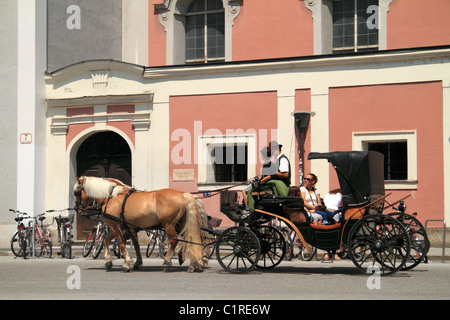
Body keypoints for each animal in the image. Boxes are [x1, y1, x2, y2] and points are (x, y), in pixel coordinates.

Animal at [73, 176, 207, 272]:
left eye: (76, 192)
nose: (76, 208)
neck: (111, 197)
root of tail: (182, 194)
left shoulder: (115, 225)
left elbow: (120, 243)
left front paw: (126, 263)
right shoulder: (126, 227)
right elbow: (117, 242)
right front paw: (109, 261)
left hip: (169, 225)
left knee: (174, 240)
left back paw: (167, 262)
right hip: (181, 224)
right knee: (193, 239)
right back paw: (195, 263)